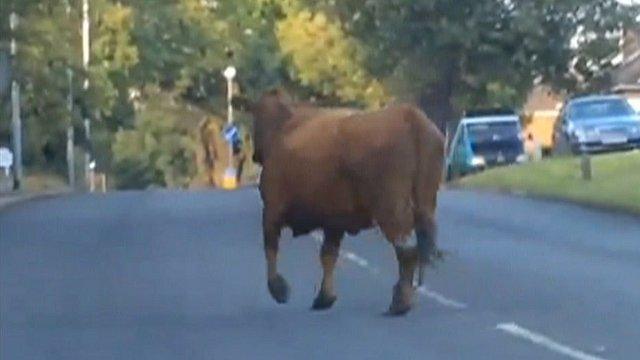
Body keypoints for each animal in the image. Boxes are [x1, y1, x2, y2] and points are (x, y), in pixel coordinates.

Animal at [236, 90, 444, 316]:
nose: (255, 154)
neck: (283, 126)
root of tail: (410, 116)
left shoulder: (272, 209)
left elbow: (271, 249)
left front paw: (278, 289)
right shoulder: (335, 220)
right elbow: (328, 255)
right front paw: (325, 297)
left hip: (391, 209)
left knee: (407, 252)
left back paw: (399, 302)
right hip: (425, 205)